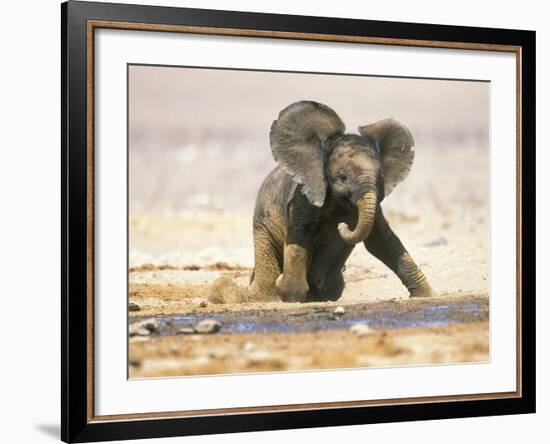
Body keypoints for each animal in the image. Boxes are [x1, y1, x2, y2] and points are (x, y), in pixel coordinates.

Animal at [249, 100, 436, 302]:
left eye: (380, 177)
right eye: (342, 177)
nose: (343, 226)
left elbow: (381, 242)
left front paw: (426, 295)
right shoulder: (303, 198)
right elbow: (300, 238)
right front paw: (293, 297)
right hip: (262, 225)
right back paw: (264, 295)